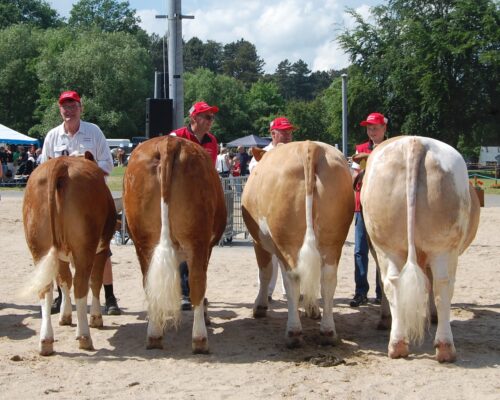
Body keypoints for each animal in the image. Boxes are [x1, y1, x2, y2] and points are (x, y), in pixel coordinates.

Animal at [23, 153, 115, 356]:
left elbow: (64, 280)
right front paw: (96, 317)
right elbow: (95, 281)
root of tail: (61, 163)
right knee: (82, 284)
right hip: (84, 248)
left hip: (39, 248)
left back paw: (46, 341)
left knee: (45, 289)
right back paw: (85, 336)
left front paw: (65, 315)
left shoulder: (60, 256)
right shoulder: (102, 249)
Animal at [124, 135, 226, 354]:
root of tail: (168, 142)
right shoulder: (207, 248)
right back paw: (200, 339)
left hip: (142, 241)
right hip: (197, 239)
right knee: (198, 283)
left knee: (148, 283)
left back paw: (154, 335)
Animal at [243, 141, 356, 346]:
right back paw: (328, 331)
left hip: (287, 240)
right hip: (333, 240)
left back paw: (293, 331)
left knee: (293, 278)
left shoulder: (259, 241)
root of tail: (309, 146)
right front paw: (311, 309)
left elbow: (265, 273)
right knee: (327, 279)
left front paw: (260, 307)